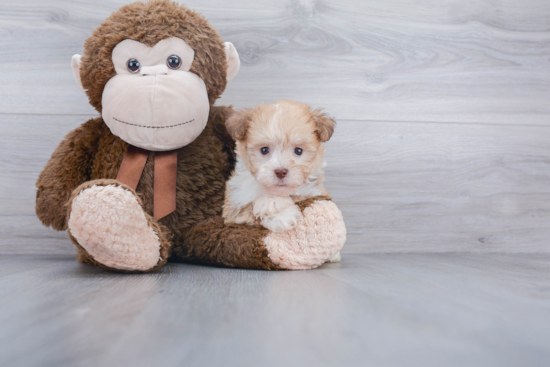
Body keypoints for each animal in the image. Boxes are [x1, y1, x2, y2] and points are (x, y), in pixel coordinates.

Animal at [223, 99, 336, 234]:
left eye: (298, 151)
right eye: (264, 150)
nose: (281, 172)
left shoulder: (316, 193)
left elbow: (299, 195)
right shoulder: (233, 207)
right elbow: (249, 208)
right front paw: (281, 215)